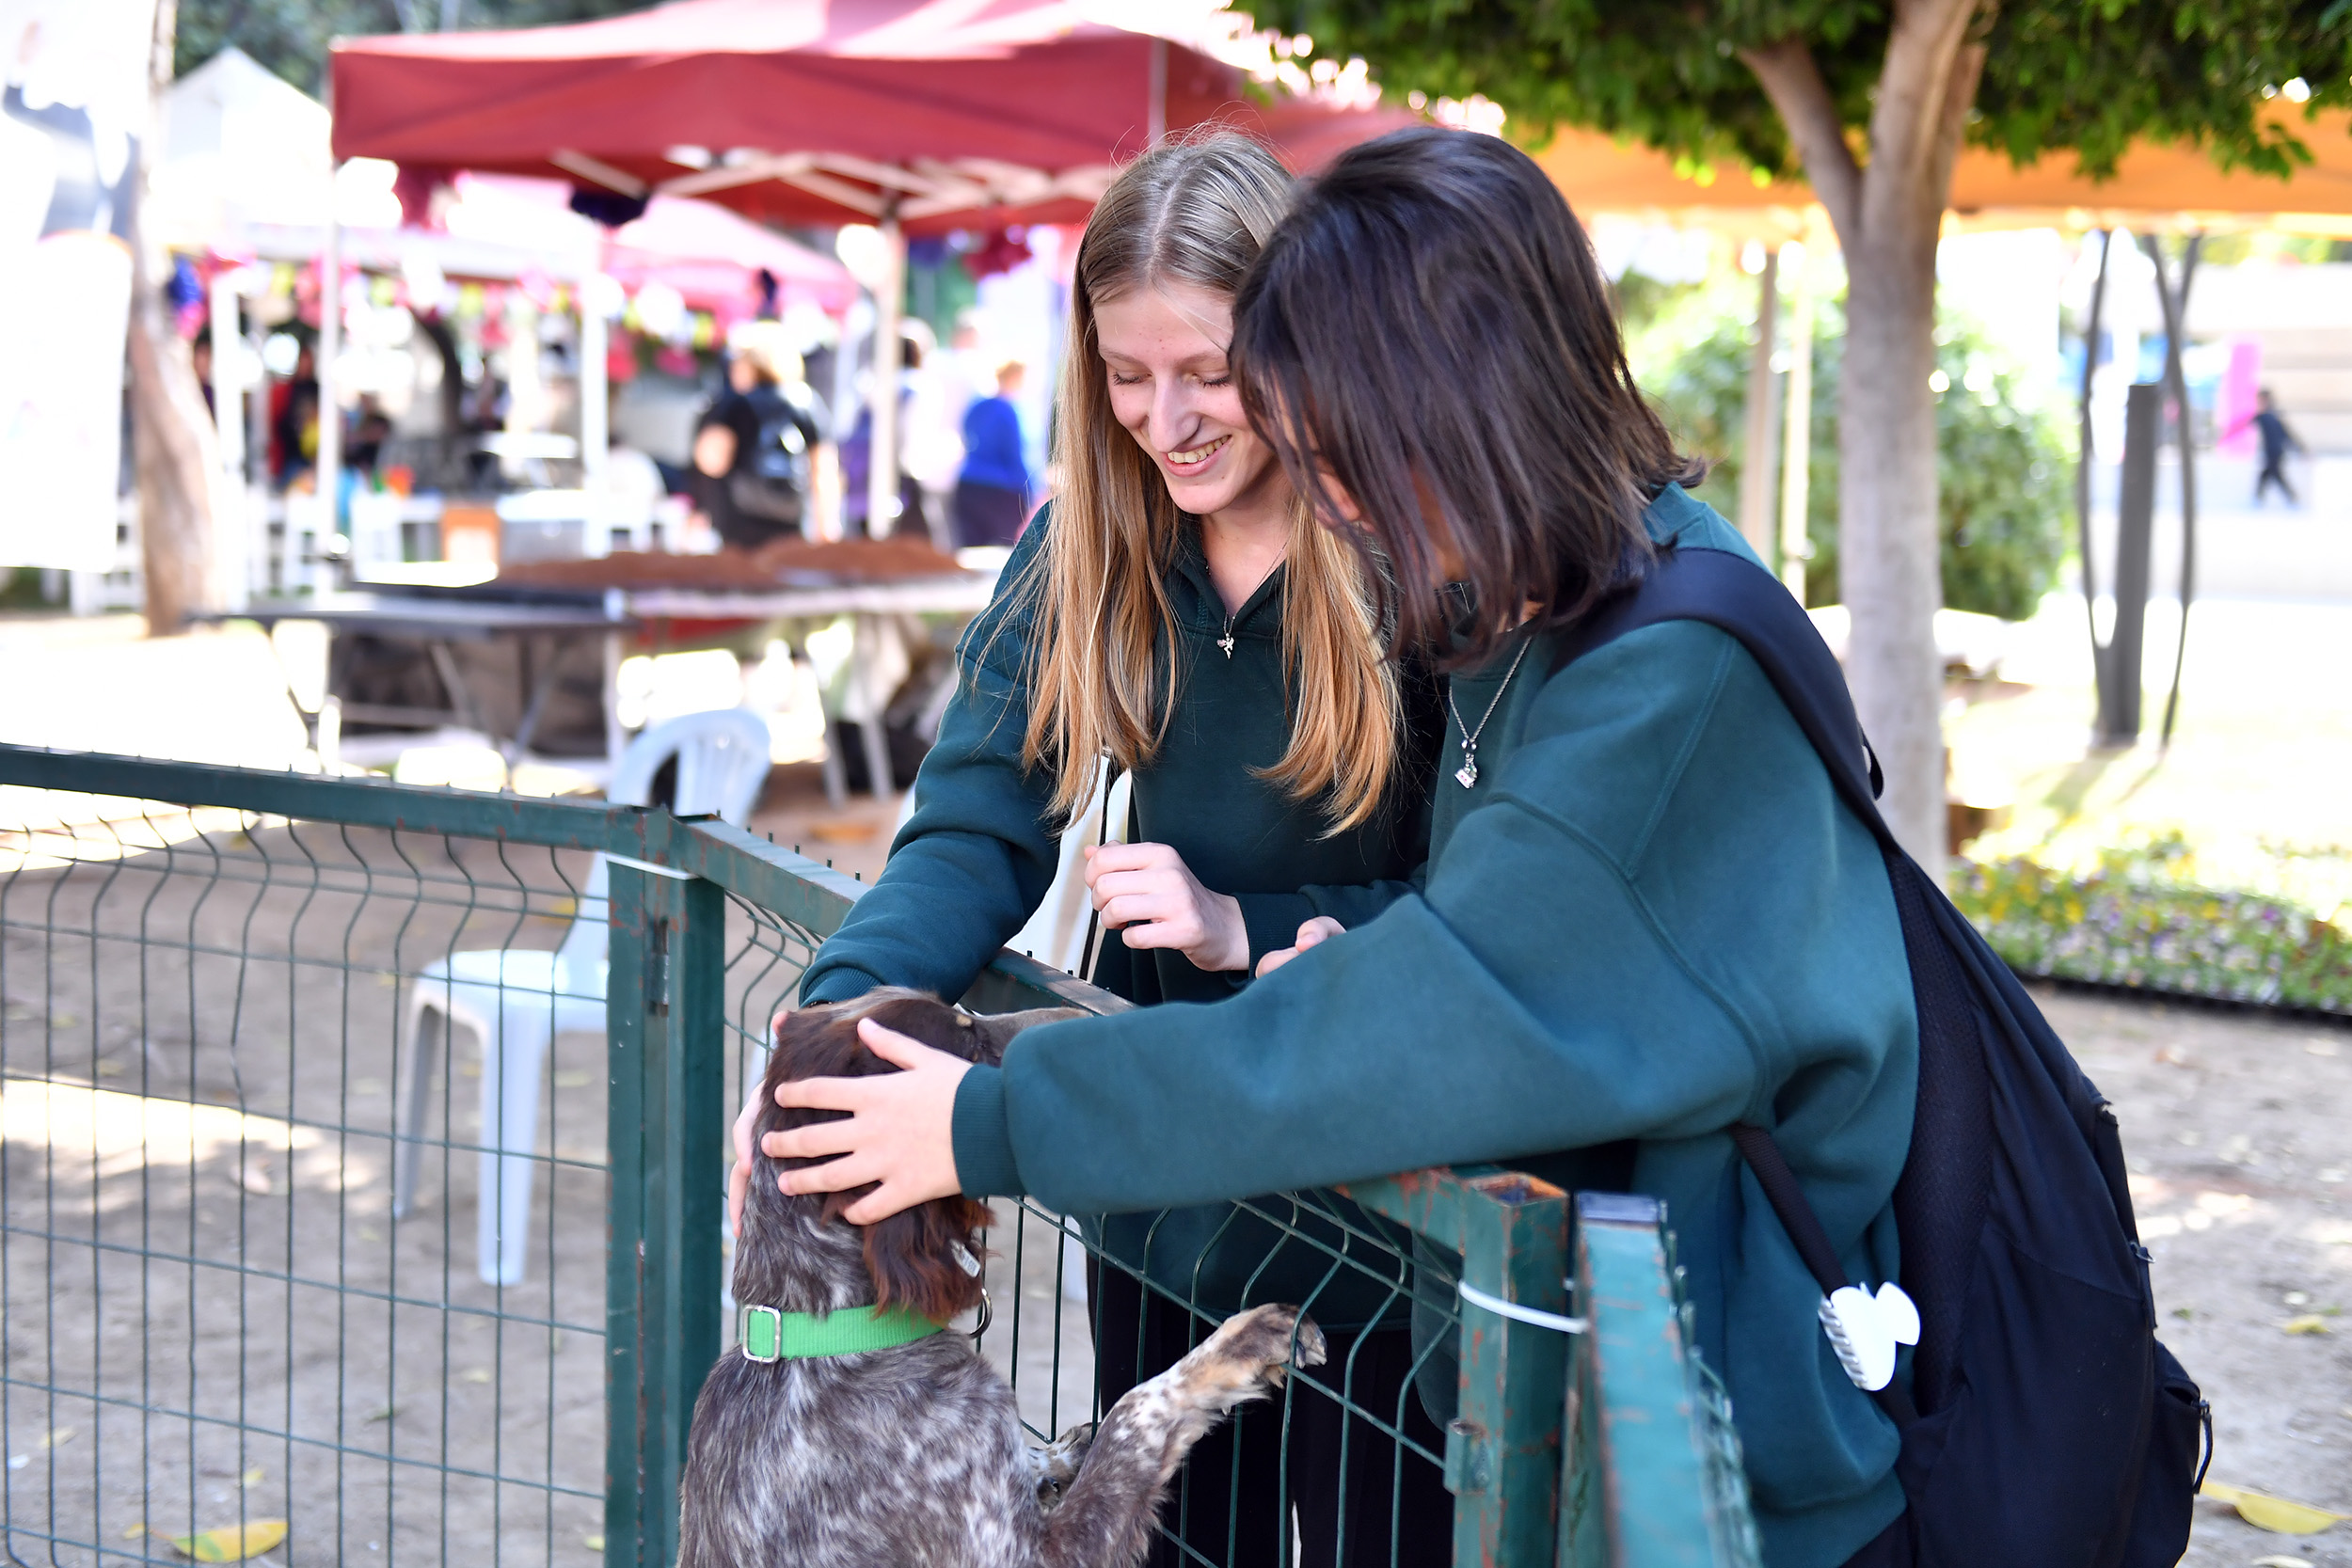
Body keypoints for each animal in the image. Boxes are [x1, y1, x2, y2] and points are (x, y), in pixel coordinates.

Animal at [682, 991, 1327, 1568]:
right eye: (966, 1041)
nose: (1087, 1024)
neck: (829, 1325)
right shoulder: (1029, 1555)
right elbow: (1135, 1411)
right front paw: (1247, 1342)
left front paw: (1056, 1456)